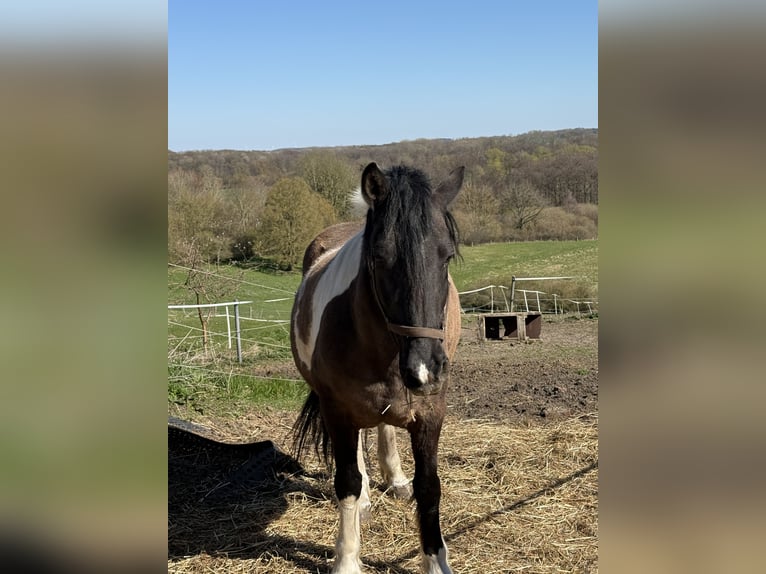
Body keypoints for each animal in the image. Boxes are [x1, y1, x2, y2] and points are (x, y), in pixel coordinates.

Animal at [290, 162, 464, 574]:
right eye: (380, 257)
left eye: (446, 257)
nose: (425, 369)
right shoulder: (337, 410)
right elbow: (347, 482)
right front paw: (347, 560)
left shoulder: (431, 410)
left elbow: (429, 485)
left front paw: (436, 561)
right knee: (355, 459)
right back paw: (368, 498)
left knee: (384, 426)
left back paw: (394, 478)